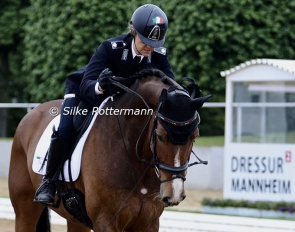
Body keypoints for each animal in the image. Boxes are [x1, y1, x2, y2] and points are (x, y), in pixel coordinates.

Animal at [8, 69, 212, 232]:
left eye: (194, 137)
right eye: (161, 136)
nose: (174, 194)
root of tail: (32, 113)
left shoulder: (148, 222)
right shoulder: (106, 221)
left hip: (75, 219)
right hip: (25, 209)